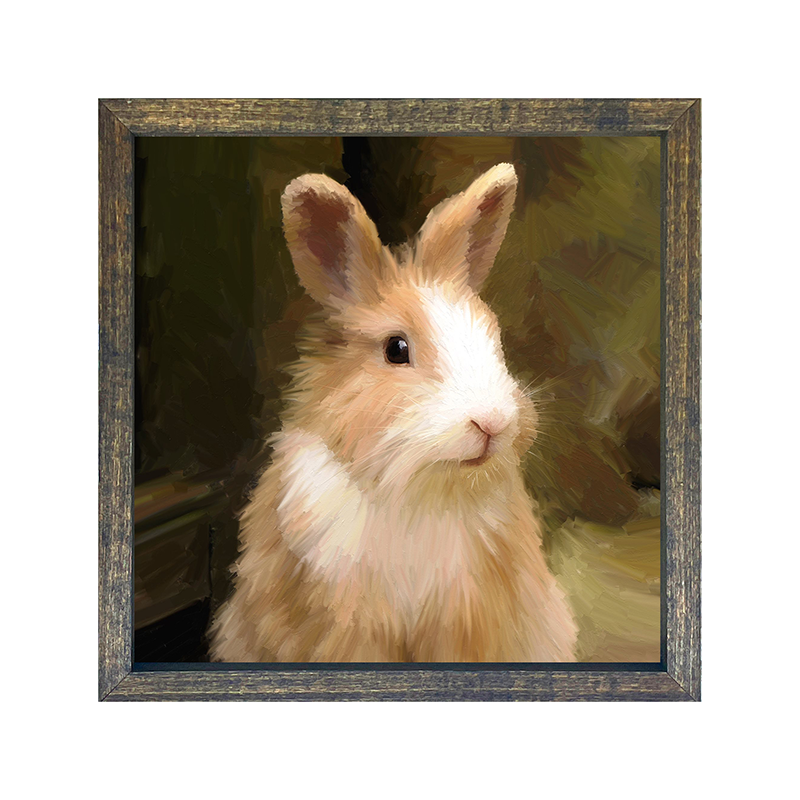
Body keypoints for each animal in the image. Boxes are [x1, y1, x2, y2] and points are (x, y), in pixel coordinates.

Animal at [209, 163, 578, 662]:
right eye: (396, 349)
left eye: (493, 336)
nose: (493, 422)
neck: (415, 490)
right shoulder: (345, 623)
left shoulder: (467, 619)